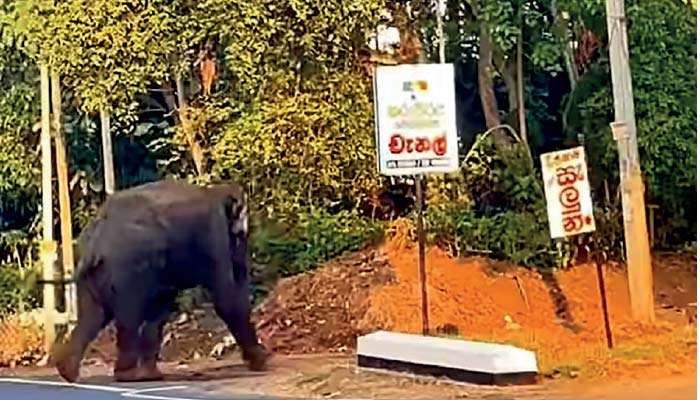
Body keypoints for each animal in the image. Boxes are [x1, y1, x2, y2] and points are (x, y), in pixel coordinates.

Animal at [53, 179, 269, 383]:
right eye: (240, 236)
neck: (216, 191)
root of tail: (95, 240)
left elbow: (161, 307)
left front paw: (152, 373)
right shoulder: (214, 235)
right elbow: (225, 298)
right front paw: (261, 360)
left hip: (97, 275)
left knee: (93, 315)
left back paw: (68, 371)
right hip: (125, 270)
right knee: (128, 317)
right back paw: (128, 375)